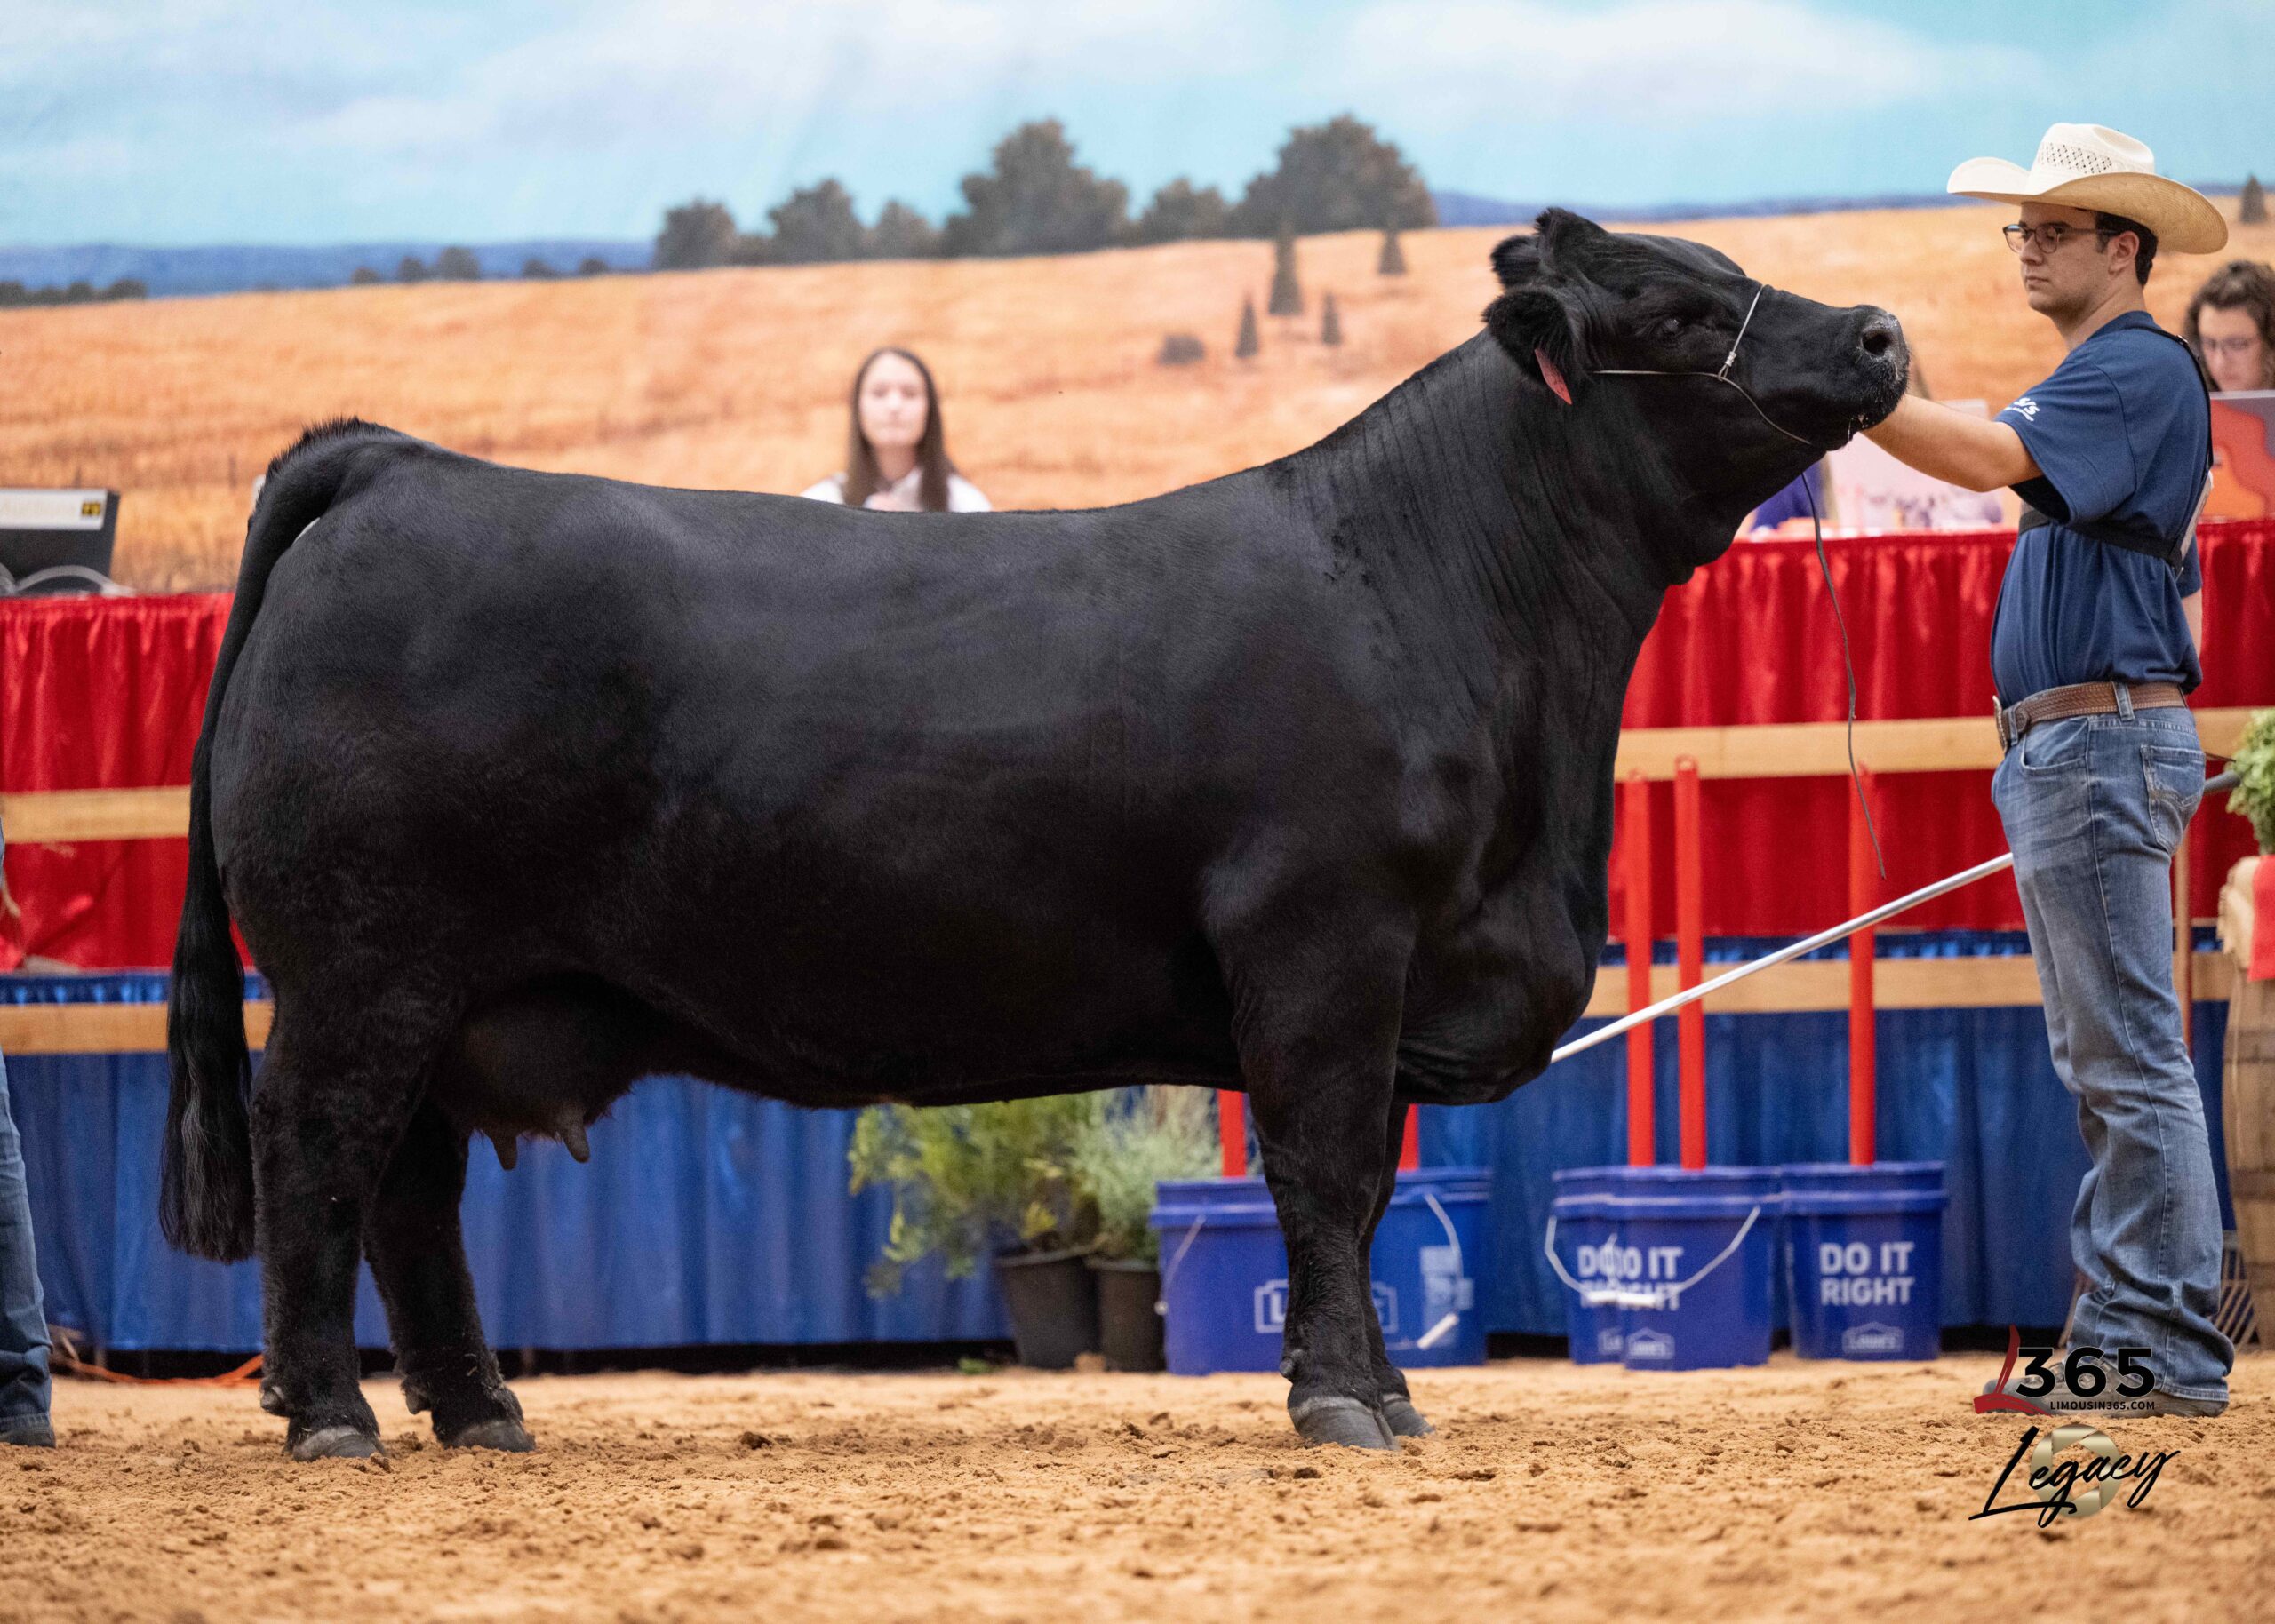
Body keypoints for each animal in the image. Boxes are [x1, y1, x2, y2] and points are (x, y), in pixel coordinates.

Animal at [161, 210, 1906, 1459]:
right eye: (1678, 313)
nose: (1883, 328)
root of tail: (396, 466)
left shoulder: (1397, 972)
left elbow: (1367, 1194)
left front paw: (1393, 1396)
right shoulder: (1327, 942)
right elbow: (1328, 1174)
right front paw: (1345, 1402)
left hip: (447, 990)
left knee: (409, 1188)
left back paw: (479, 1413)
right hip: (359, 972)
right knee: (318, 1153)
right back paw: (332, 1417)